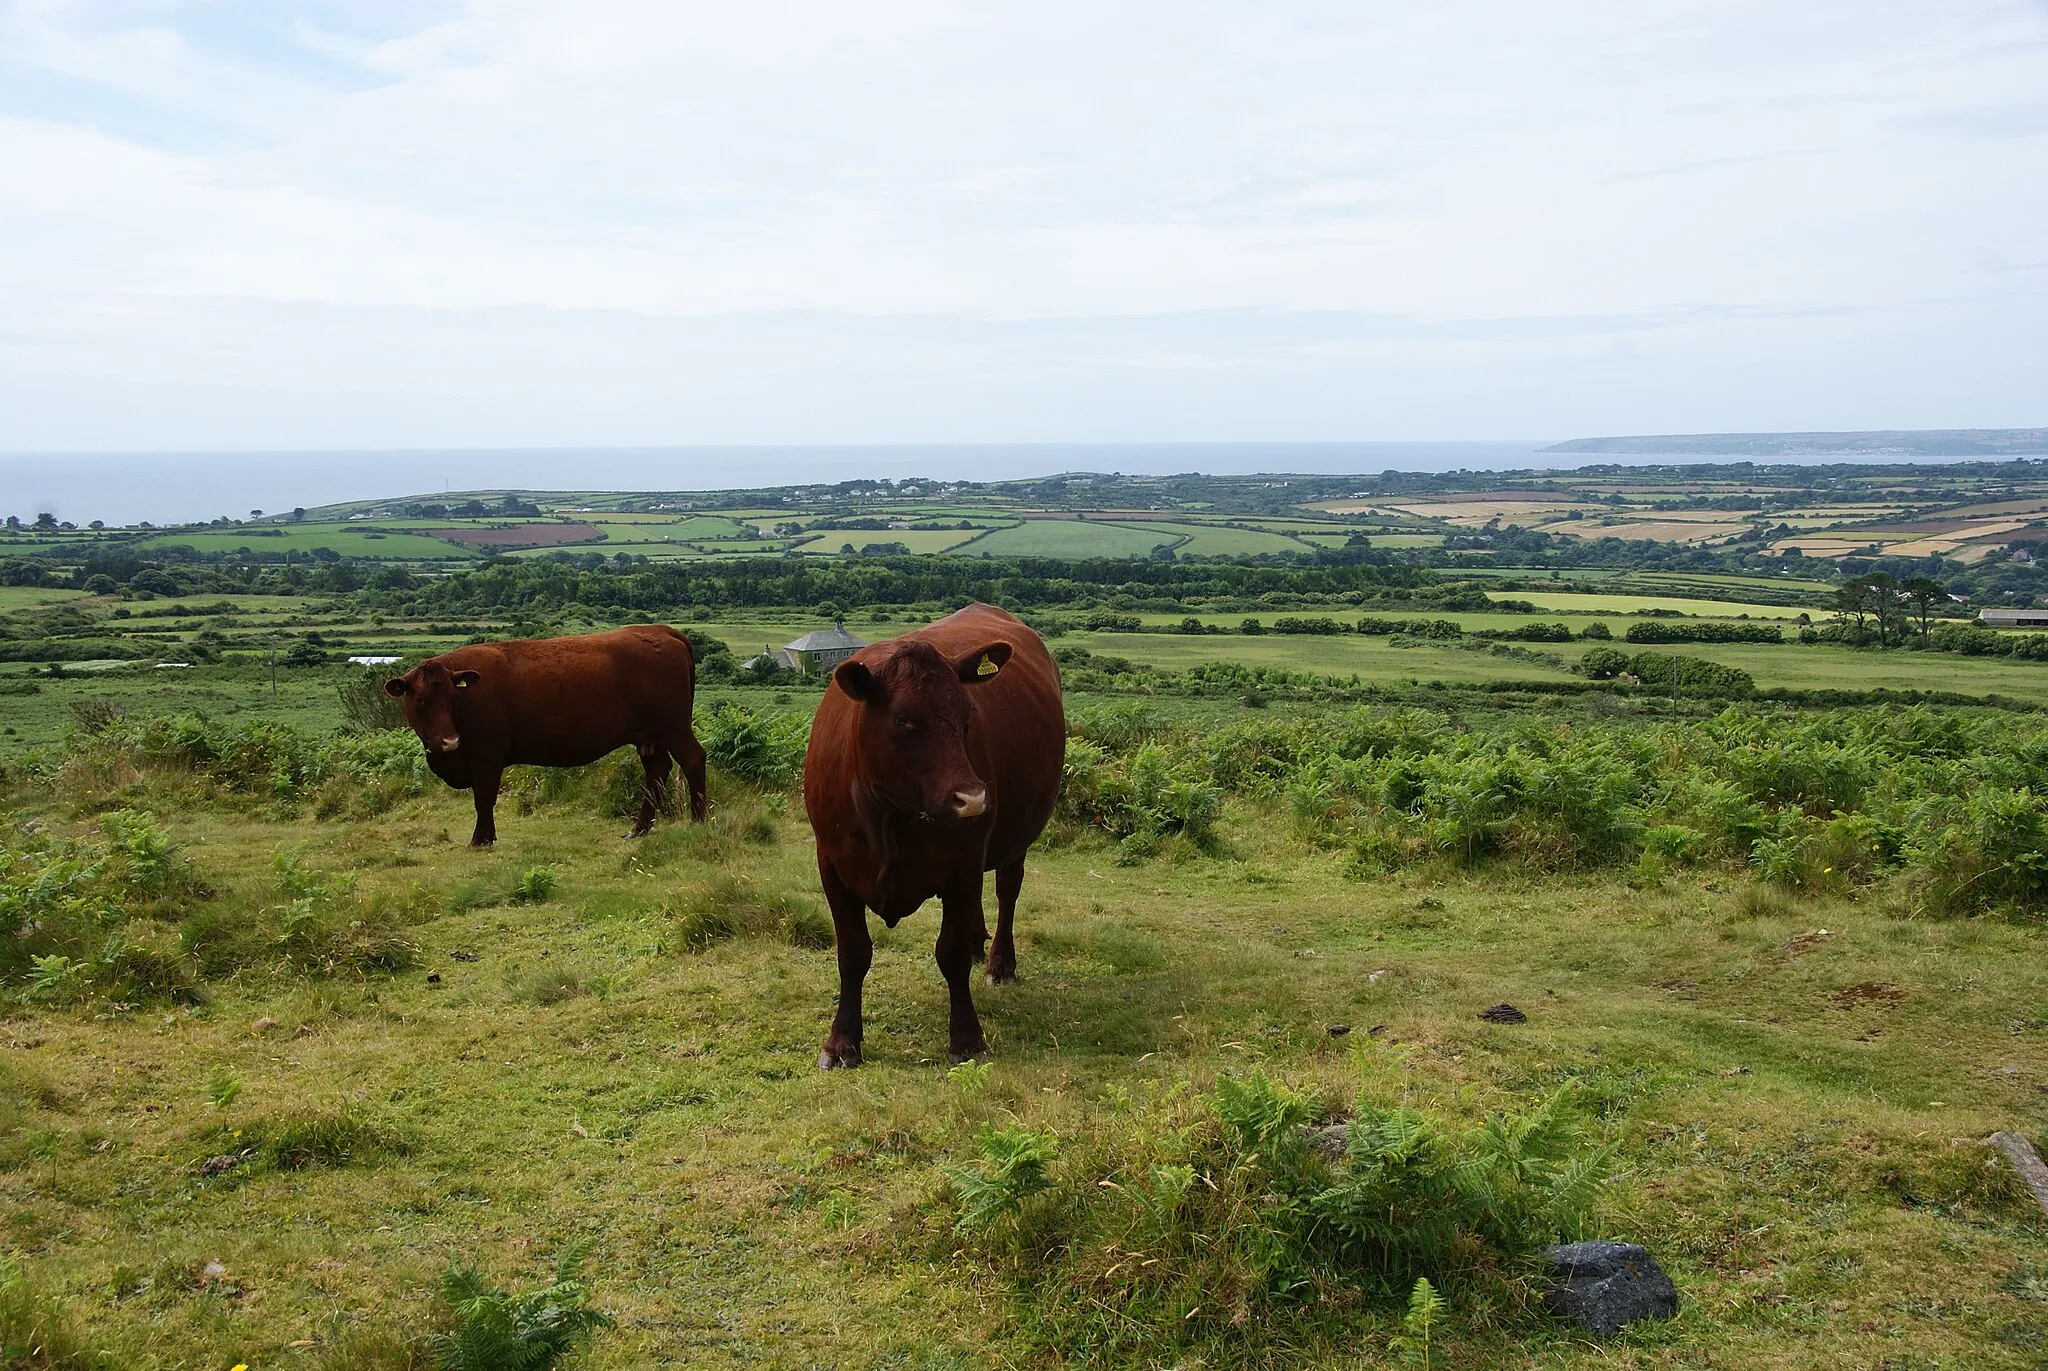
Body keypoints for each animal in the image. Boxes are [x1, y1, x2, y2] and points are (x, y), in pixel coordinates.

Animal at [385, 622, 712, 844]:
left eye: (452, 697)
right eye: (419, 699)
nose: (449, 741)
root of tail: (661, 630)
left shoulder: (487, 758)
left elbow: (484, 799)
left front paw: (480, 839)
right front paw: (487, 837)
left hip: (674, 727)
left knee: (692, 759)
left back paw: (698, 821)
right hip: (649, 736)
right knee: (656, 772)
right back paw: (638, 829)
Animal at [798, 602, 1064, 1065]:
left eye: (967, 715)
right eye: (903, 719)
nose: (973, 799)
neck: (888, 819)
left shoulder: (962, 864)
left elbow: (950, 952)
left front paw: (967, 1038)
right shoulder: (831, 865)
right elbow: (852, 953)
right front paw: (842, 1040)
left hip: (1014, 840)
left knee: (1007, 891)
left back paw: (999, 964)